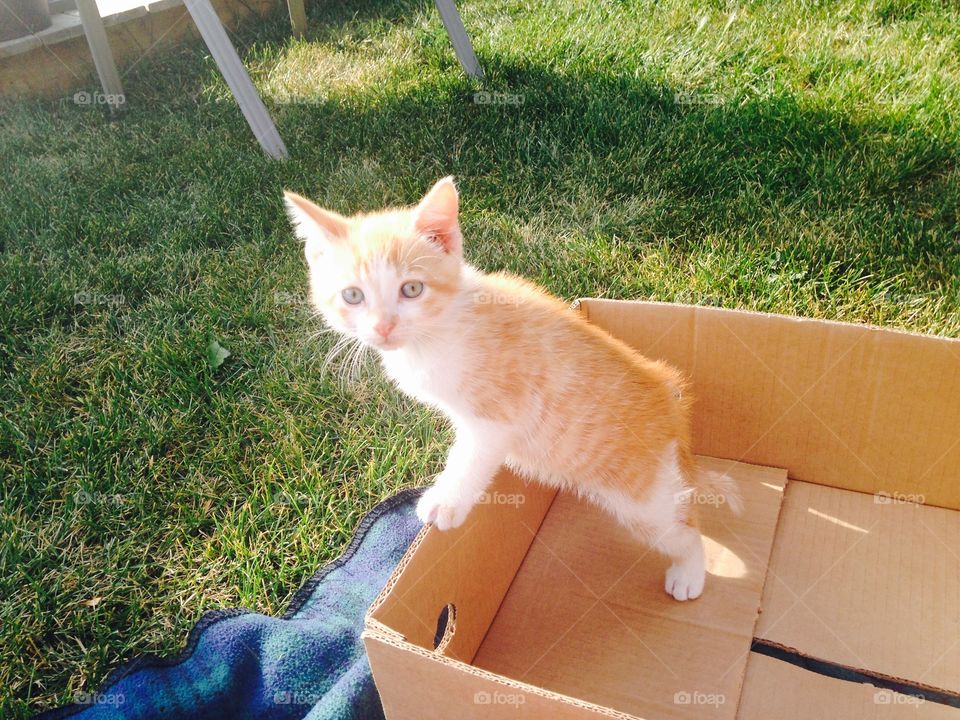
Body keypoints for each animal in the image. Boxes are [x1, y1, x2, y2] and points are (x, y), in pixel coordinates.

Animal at [282, 177, 732, 600]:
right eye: (352, 295)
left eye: (411, 288)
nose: (383, 328)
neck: (440, 328)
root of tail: (670, 400)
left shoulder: (498, 413)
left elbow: (470, 455)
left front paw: (446, 500)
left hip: (642, 498)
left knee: (684, 527)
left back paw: (689, 571)